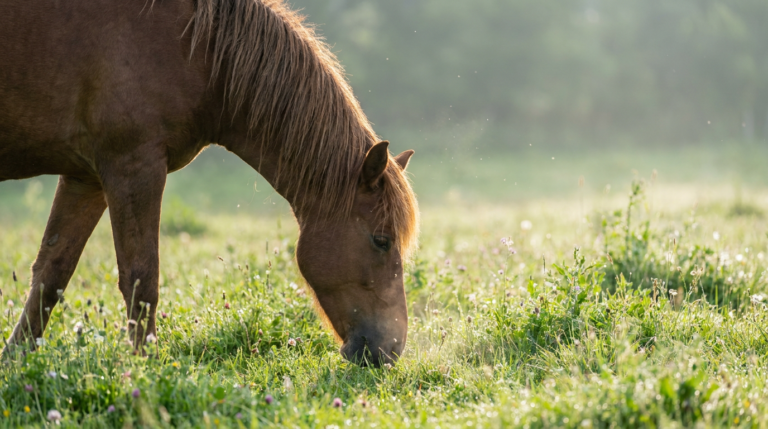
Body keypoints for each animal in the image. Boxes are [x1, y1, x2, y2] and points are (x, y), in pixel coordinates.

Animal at [0, 0, 419, 367]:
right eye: (381, 240)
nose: (390, 348)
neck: (194, 49)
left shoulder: (85, 177)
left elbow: (51, 274)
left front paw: (15, 362)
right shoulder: (132, 166)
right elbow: (141, 278)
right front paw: (144, 369)